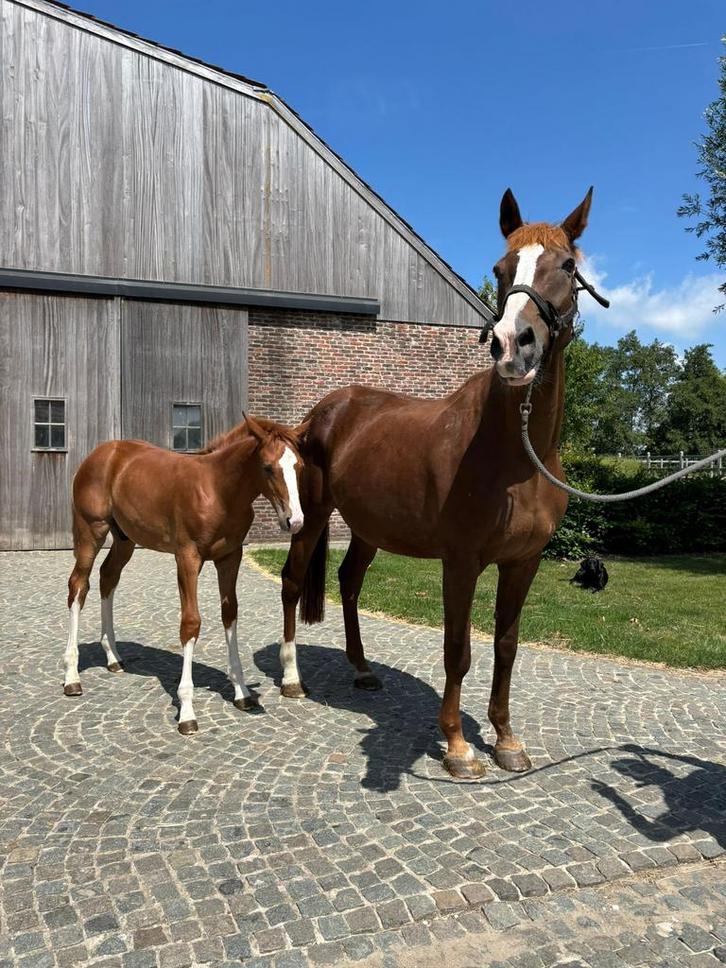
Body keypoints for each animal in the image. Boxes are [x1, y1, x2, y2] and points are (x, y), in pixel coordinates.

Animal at [63, 413, 308, 734]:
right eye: (267, 467)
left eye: (299, 466)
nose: (295, 521)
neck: (218, 490)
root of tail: (100, 454)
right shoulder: (187, 558)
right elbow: (191, 623)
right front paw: (188, 711)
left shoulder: (230, 557)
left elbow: (230, 614)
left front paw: (241, 692)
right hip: (90, 529)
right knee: (79, 586)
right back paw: (71, 676)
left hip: (124, 539)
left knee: (108, 577)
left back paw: (113, 657)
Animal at [277, 188, 595, 779]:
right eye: (499, 269)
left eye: (567, 265)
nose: (512, 345)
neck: (517, 454)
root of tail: (323, 411)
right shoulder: (461, 561)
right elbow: (458, 649)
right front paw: (457, 746)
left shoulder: (525, 562)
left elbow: (507, 644)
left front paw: (506, 739)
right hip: (311, 516)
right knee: (291, 581)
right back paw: (291, 679)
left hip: (368, 528)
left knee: (349, 582)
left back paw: (362, 670)